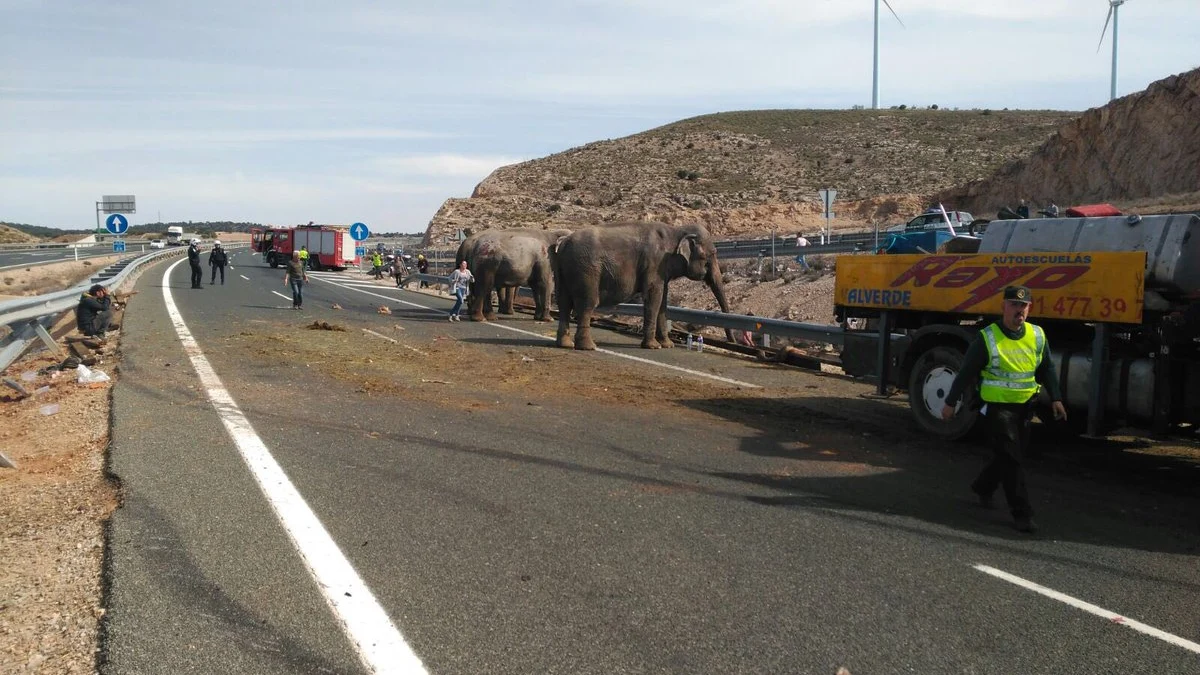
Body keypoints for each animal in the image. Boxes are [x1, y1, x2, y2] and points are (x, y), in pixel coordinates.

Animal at [549, 220, 729, 348]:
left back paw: (565, 344)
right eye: (711, 255)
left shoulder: (662, 269)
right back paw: (588, 347)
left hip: (562, 270)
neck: (677, 230)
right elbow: (654, 297)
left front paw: (667, 345)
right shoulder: (655, 263)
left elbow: (663, 301)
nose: (731, 340)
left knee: (564, 303)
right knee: (587, 304)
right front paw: (653, 346)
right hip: (587, 270)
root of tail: (564, 244)